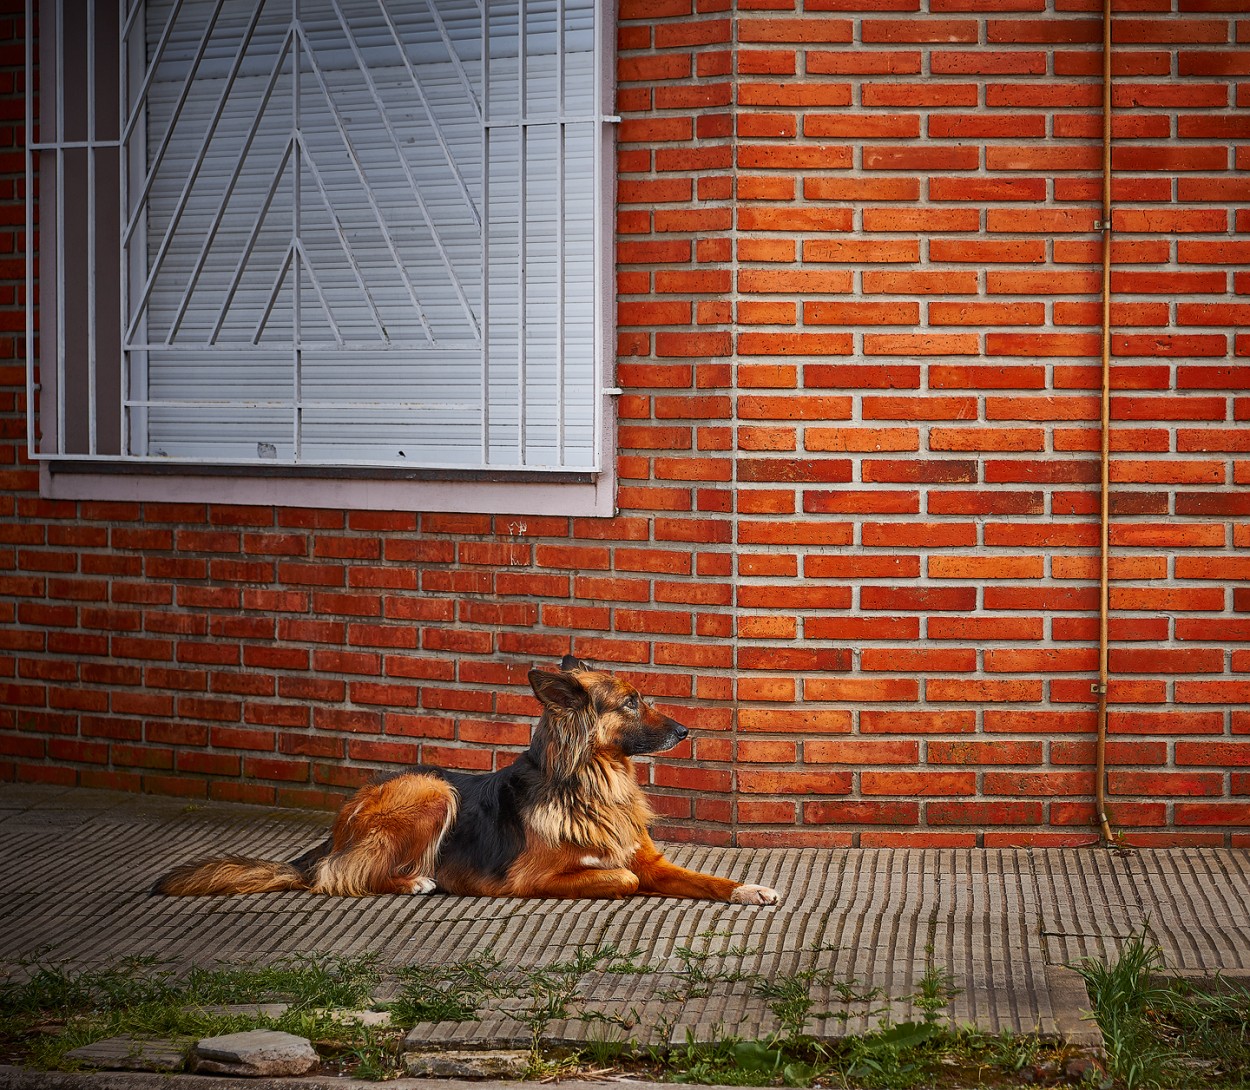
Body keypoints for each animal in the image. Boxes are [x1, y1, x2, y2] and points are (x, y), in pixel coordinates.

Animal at [155, 655, 775, 905]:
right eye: (630, 703)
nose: (687, 729)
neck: (595, 784)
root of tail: (335, 830)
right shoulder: (531, 879)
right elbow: (620, 877)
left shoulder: (653, 862)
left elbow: (704, 880)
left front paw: (749, 888)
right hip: (432, 790)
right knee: (340, 876)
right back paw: (413, 881)